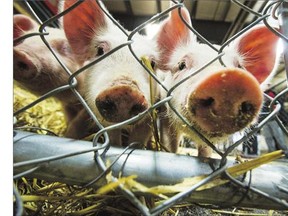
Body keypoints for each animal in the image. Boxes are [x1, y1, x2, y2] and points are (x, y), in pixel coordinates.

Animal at [61, 0, 160, 147]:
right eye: (100, 50)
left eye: (152, 64)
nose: (125, 89)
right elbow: (112, 136)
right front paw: (115, 145)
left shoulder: (149, 115)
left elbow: (138, 138)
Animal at [155, 5, 280, 157]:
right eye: (181, 65)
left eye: (239, 67)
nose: (230, 78)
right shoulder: (164, 114)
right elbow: (170, 145)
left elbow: (205, 151)